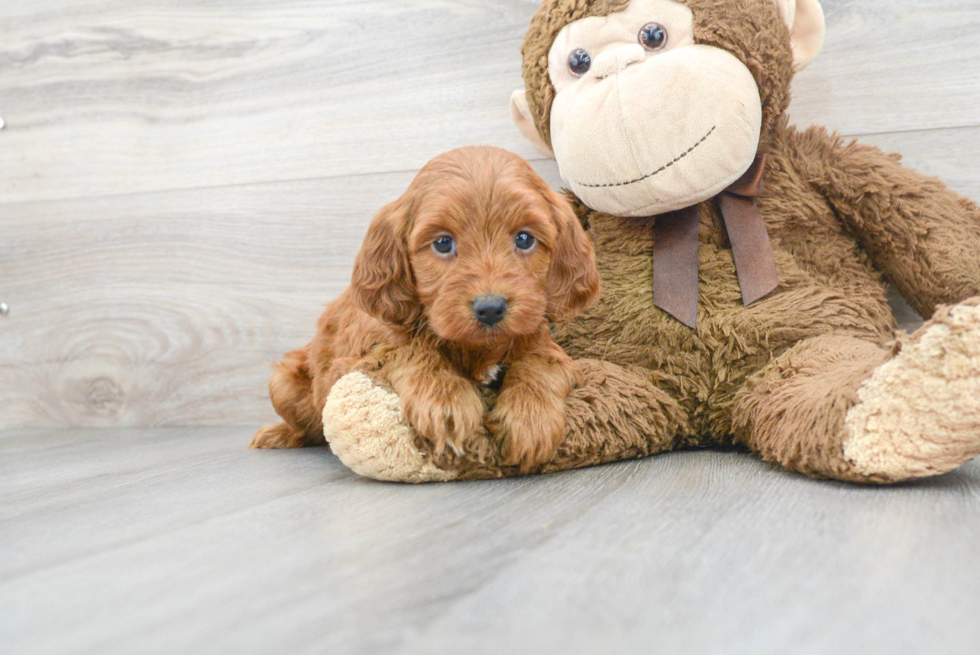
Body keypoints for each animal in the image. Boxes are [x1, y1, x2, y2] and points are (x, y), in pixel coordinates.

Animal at [251, 146, 604, 468]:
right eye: (443, 243)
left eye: (525, 239)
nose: (490, 308)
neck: (476, 348)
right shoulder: (350, 364)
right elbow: (411, 350)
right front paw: (446, 401)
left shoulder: (543, 343)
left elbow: (542, 364)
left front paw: (530, 419)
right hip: (283, 383)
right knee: (307, 426)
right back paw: (279, 434)